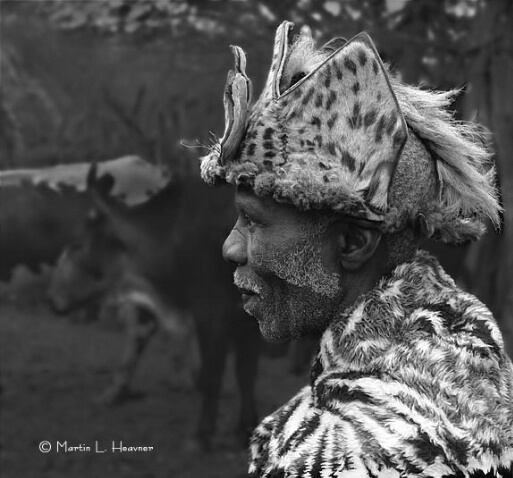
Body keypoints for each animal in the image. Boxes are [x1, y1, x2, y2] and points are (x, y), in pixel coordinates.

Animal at [47, 167, 260, 452]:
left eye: (77, 243)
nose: (51, 298)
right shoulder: (245, 316)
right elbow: (246, 373)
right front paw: (245, 430)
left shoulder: (211, 308)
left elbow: (214, 374)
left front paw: (202, 435)